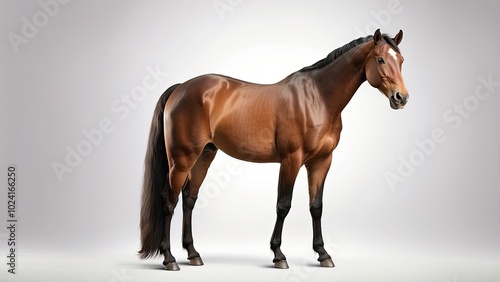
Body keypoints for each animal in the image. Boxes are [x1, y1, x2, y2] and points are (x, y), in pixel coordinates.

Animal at [139, 29, 408, 270]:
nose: (401, 98)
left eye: (402, 60)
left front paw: (323, 254)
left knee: (189, 200)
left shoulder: (322, 161)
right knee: (169, 201)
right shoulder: (292, 160)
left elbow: (316, 207)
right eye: (380, 59)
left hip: (205, 155)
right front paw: (279, 255)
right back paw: (169, 259)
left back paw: (193, 254)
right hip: (181, 159)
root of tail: (180, 88)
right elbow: (283, 205)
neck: (318, 98)